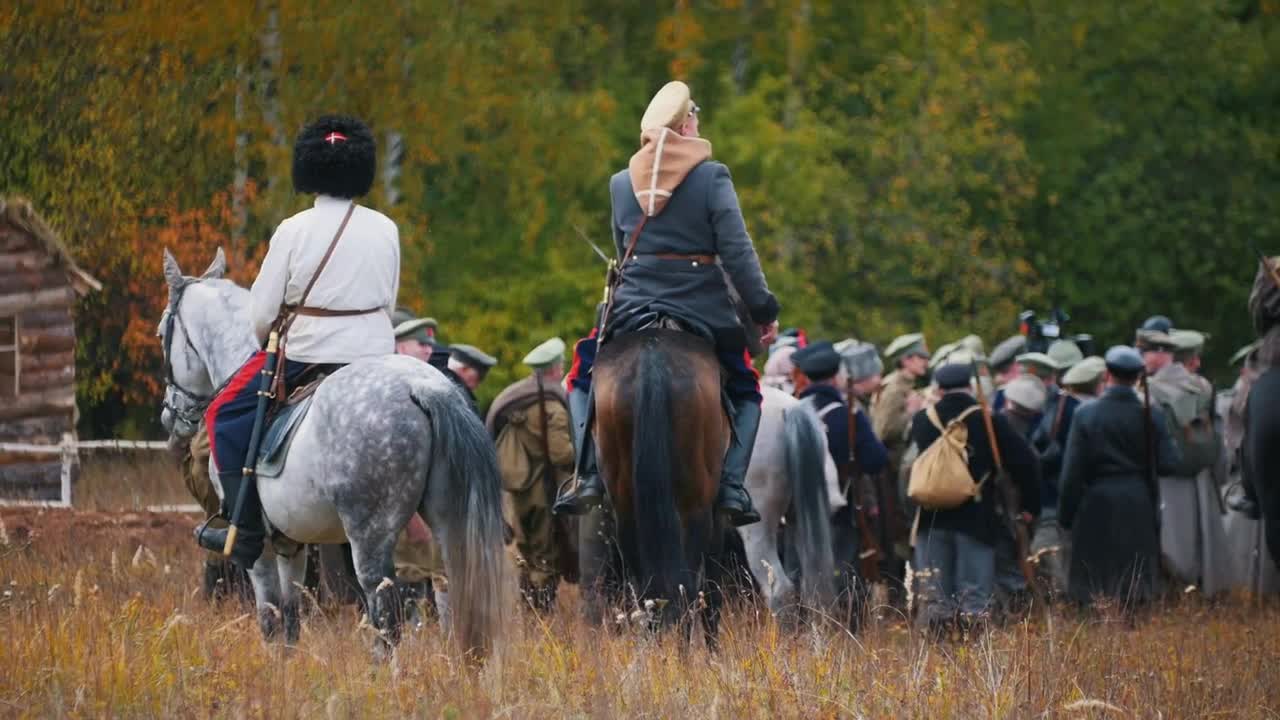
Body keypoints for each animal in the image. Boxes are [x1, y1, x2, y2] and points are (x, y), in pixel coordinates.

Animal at [154, 248, 504, 655]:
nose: (170, 415)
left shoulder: (260, 549)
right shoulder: (289, 542)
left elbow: (270, 617)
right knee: (450, 595)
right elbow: (291, 618)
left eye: (162, 333)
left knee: (387, 614)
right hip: (444, 527)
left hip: (370, 538)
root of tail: (422, 387)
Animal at [588, 327, 732, 635]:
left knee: (647, 591)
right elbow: (711, 595)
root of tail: (651, 359)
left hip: (625, 509)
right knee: (686, 587)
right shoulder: (717, 513)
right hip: (696, 508)